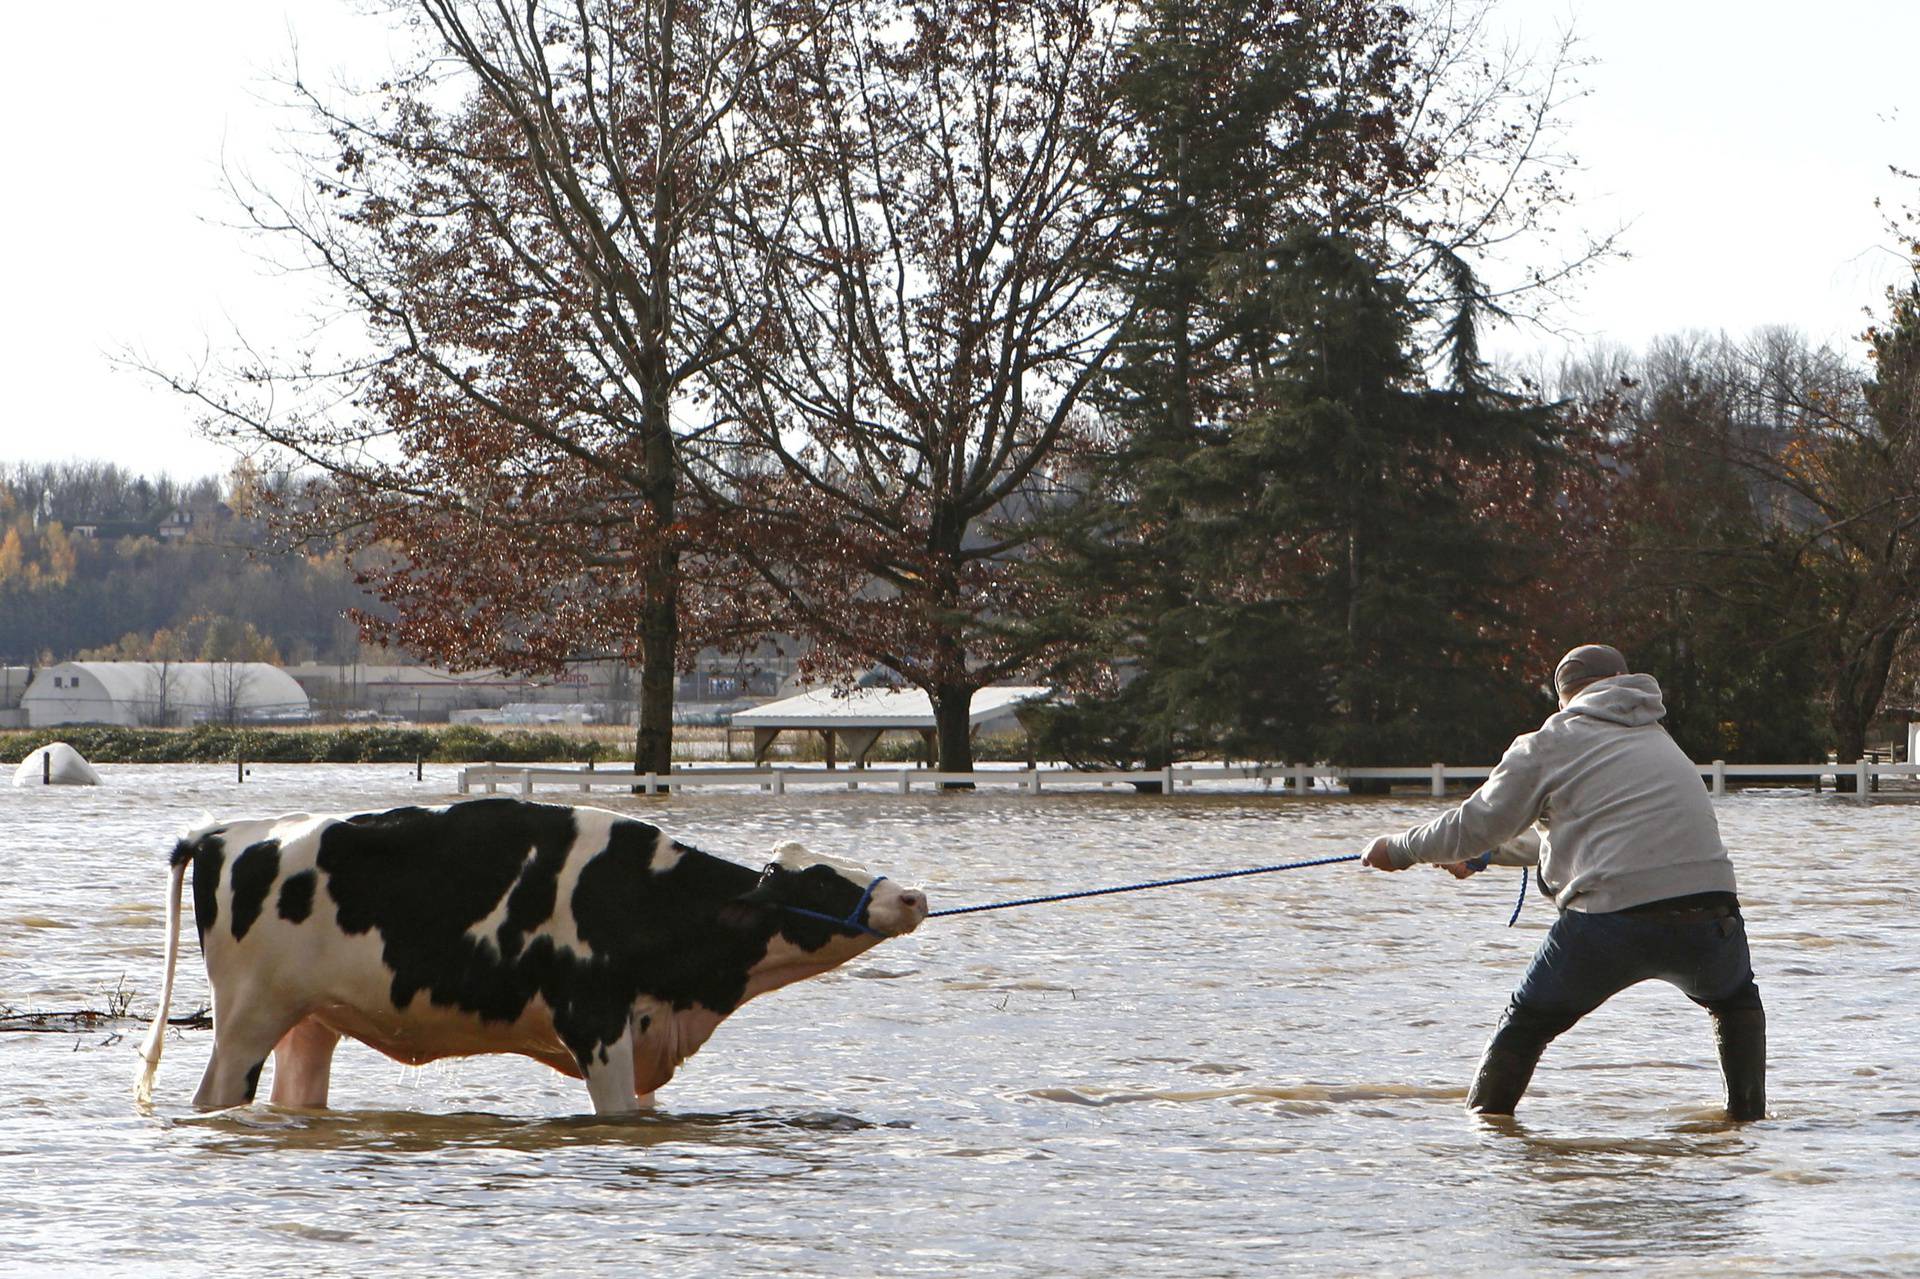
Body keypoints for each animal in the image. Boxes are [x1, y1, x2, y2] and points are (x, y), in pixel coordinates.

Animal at [131, 798, 925, 1106]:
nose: (913, 895)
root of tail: (222, 833)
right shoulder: (595, 1025)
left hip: (309, 1022)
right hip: (246, 1020)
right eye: (819, 879)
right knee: (214, 1096)